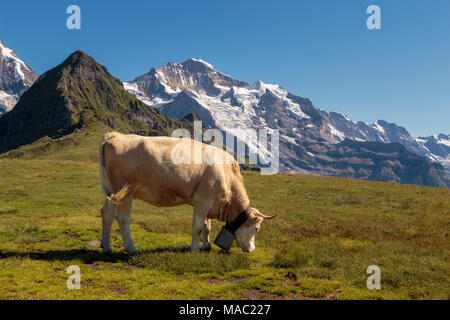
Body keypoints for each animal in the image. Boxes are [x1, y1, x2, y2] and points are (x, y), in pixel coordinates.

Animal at [98, 131, 276, 254]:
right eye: (257, 229)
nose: (252, 250)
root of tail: (114, 135)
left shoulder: (207, 203)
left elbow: (207, 226)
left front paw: (207, 245)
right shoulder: (203, 201)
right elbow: (197, 226)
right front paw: (195, 248)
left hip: (112, 192)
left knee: (107, 214)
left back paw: (106, 247)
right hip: (124, 192)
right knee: (122, 219)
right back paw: (131, 248)